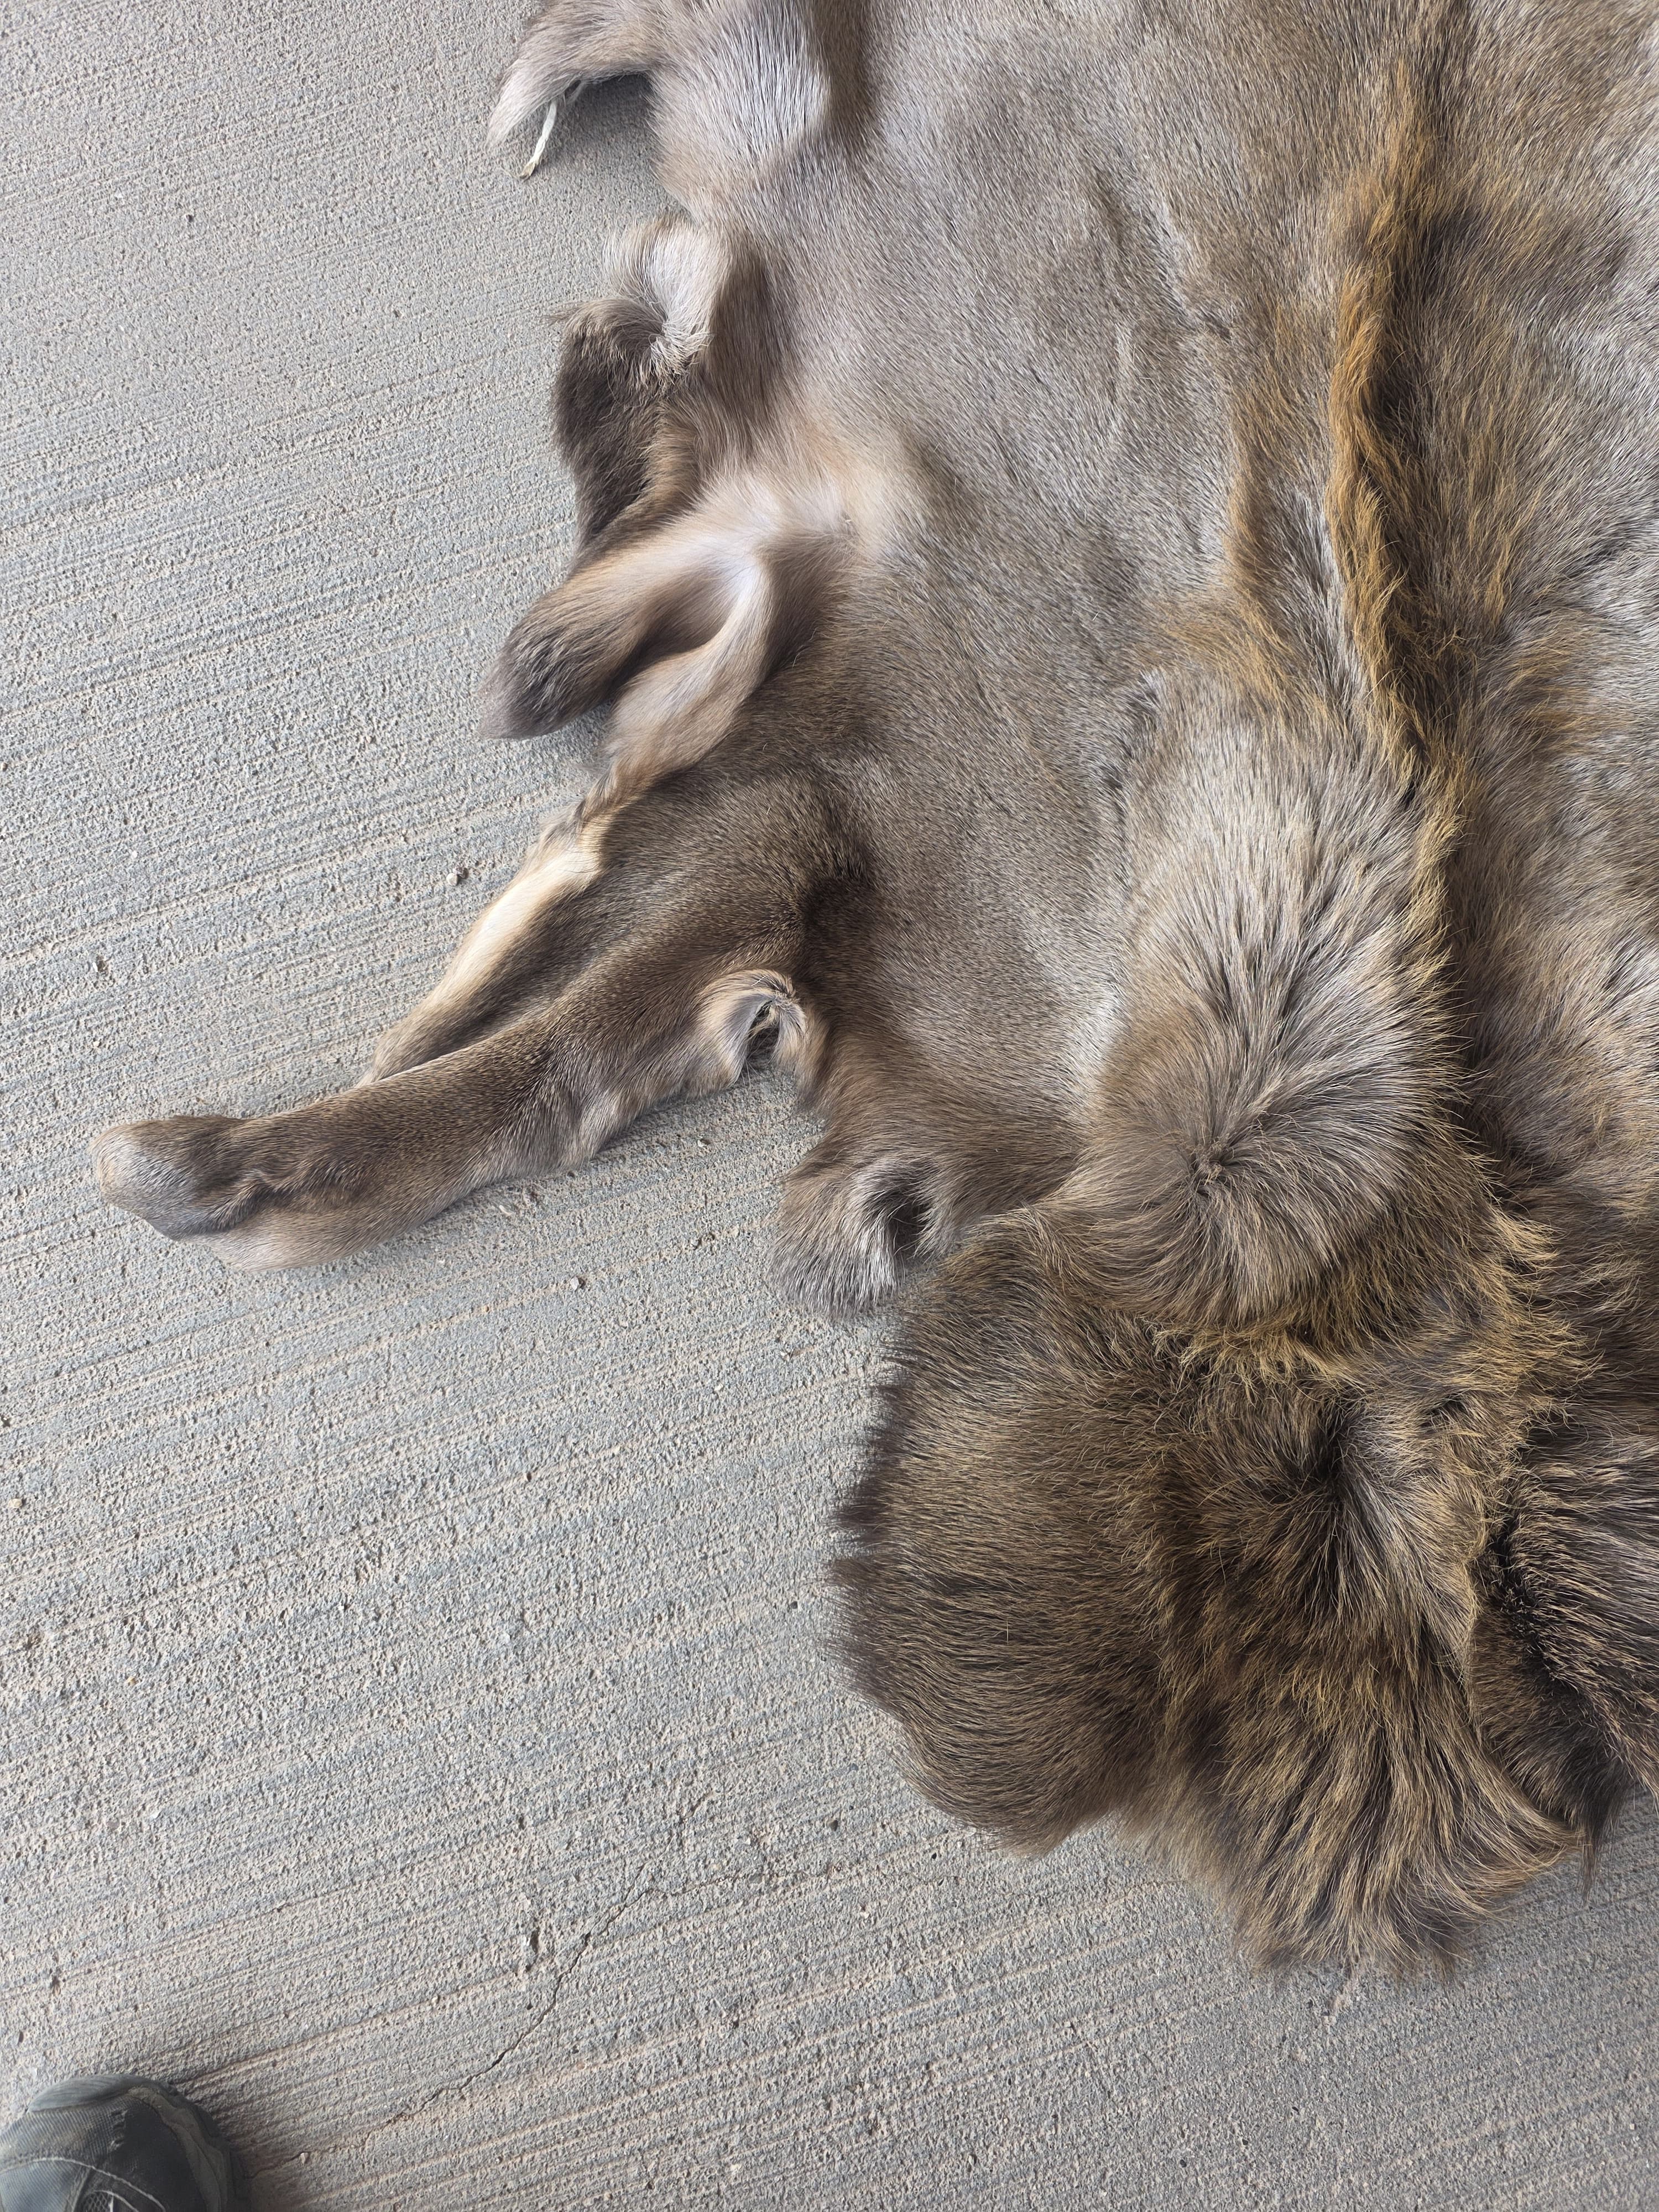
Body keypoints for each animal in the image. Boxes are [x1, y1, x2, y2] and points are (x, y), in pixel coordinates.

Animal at [92, 0, 1659, 1972]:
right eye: (1331, 1498)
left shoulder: (824, 840)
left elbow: (570, 1028)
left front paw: (231, 1167)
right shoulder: (863, 797)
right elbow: (557, 1008)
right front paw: (220, 1164)